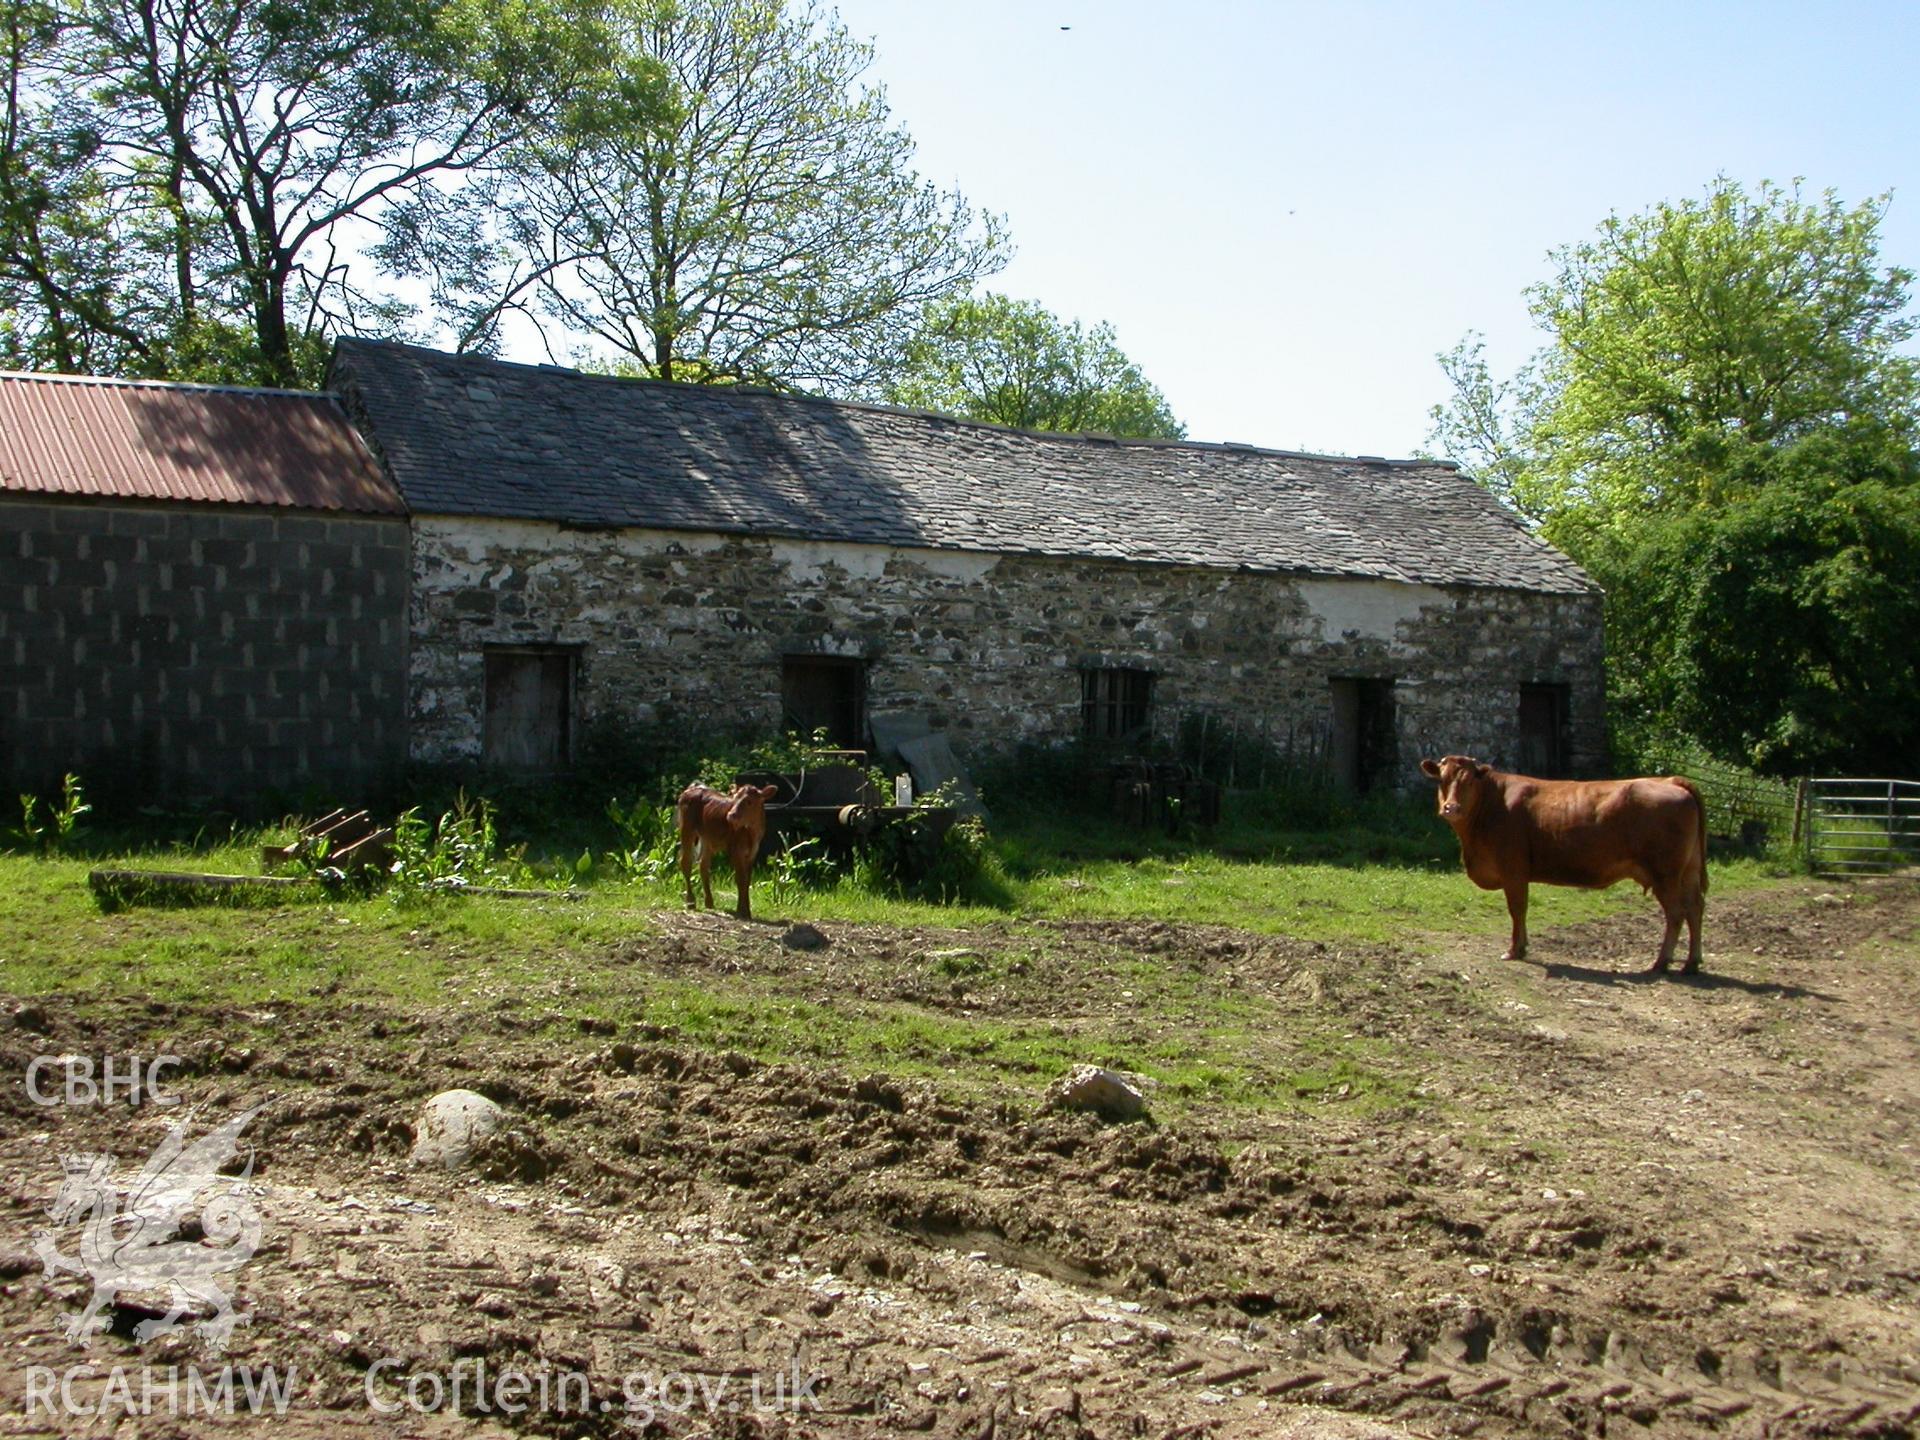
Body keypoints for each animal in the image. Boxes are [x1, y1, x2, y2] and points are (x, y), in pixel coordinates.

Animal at [675, 783, 779, 917]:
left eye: (749, 801)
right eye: (734, 798)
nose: (731, 816)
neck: (751, 832)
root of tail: (694, 787)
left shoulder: (752, 853)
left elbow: (747, 881)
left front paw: (747, 910)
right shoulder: (735, 850)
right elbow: (740, 879)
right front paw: (742, 910)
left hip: (707, 838)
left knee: (703, 865)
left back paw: (709, 902)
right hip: (686, 829)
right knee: (686, 862)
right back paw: (691, 902)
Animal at [1420, 756, 1704, 983]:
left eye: (1469, 781)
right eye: (1442, 780)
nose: (1451, 808)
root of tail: (1670, 780)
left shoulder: (1514, 871)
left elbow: (1517, 909)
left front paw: (1514, 950)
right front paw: (1522, 947)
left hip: (1665, 874)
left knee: (1677, 913)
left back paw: (1661, 963)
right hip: (1688, 872)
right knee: (1695, 908)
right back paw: (1691, 963)